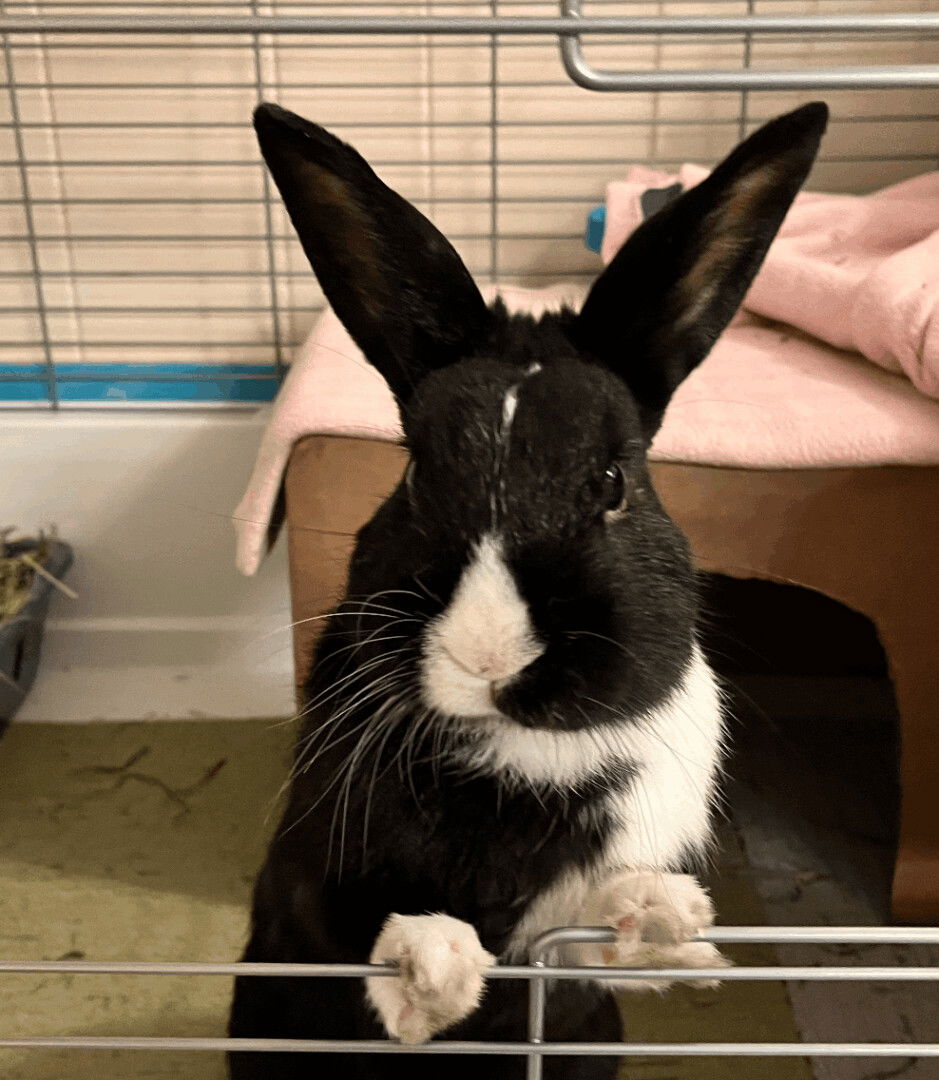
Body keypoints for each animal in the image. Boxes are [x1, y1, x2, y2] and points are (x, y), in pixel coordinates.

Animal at [229, 101, 829, 1080]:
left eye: (614, 482)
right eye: (416, 474)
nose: (489, 656)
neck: (522, 747)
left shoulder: (575, 937)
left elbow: (580, 941)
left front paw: (665, 924)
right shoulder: (311, 874)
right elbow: (363, 942)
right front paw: (432, 964)